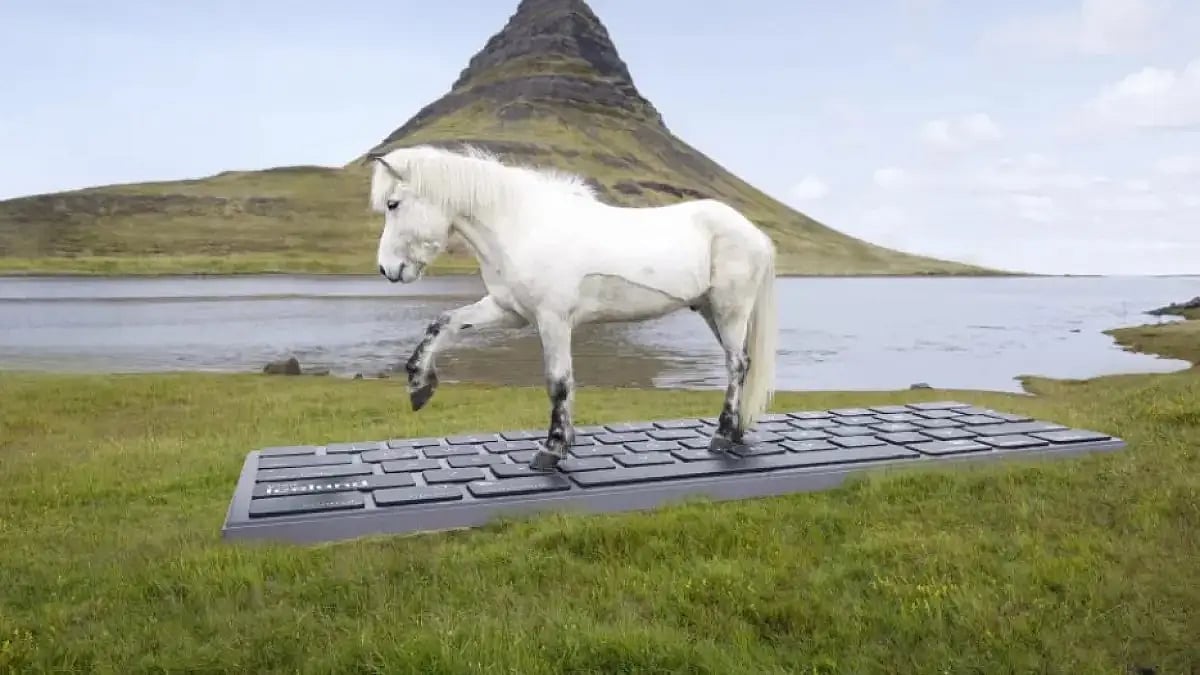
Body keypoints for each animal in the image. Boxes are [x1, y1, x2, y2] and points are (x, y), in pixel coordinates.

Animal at [366, 144, 778, 471]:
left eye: (393, 204)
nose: (387, 269)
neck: (522, 226)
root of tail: (755, 234)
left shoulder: (553, 320)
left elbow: (558, 382)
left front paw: (553, 448)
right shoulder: (508, 311)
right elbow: (443, 324)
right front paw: (419, 386)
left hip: (730, 311)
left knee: (736, 365)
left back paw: (723, 433)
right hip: (710, 311)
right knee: (742, 363)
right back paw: (736, 431)